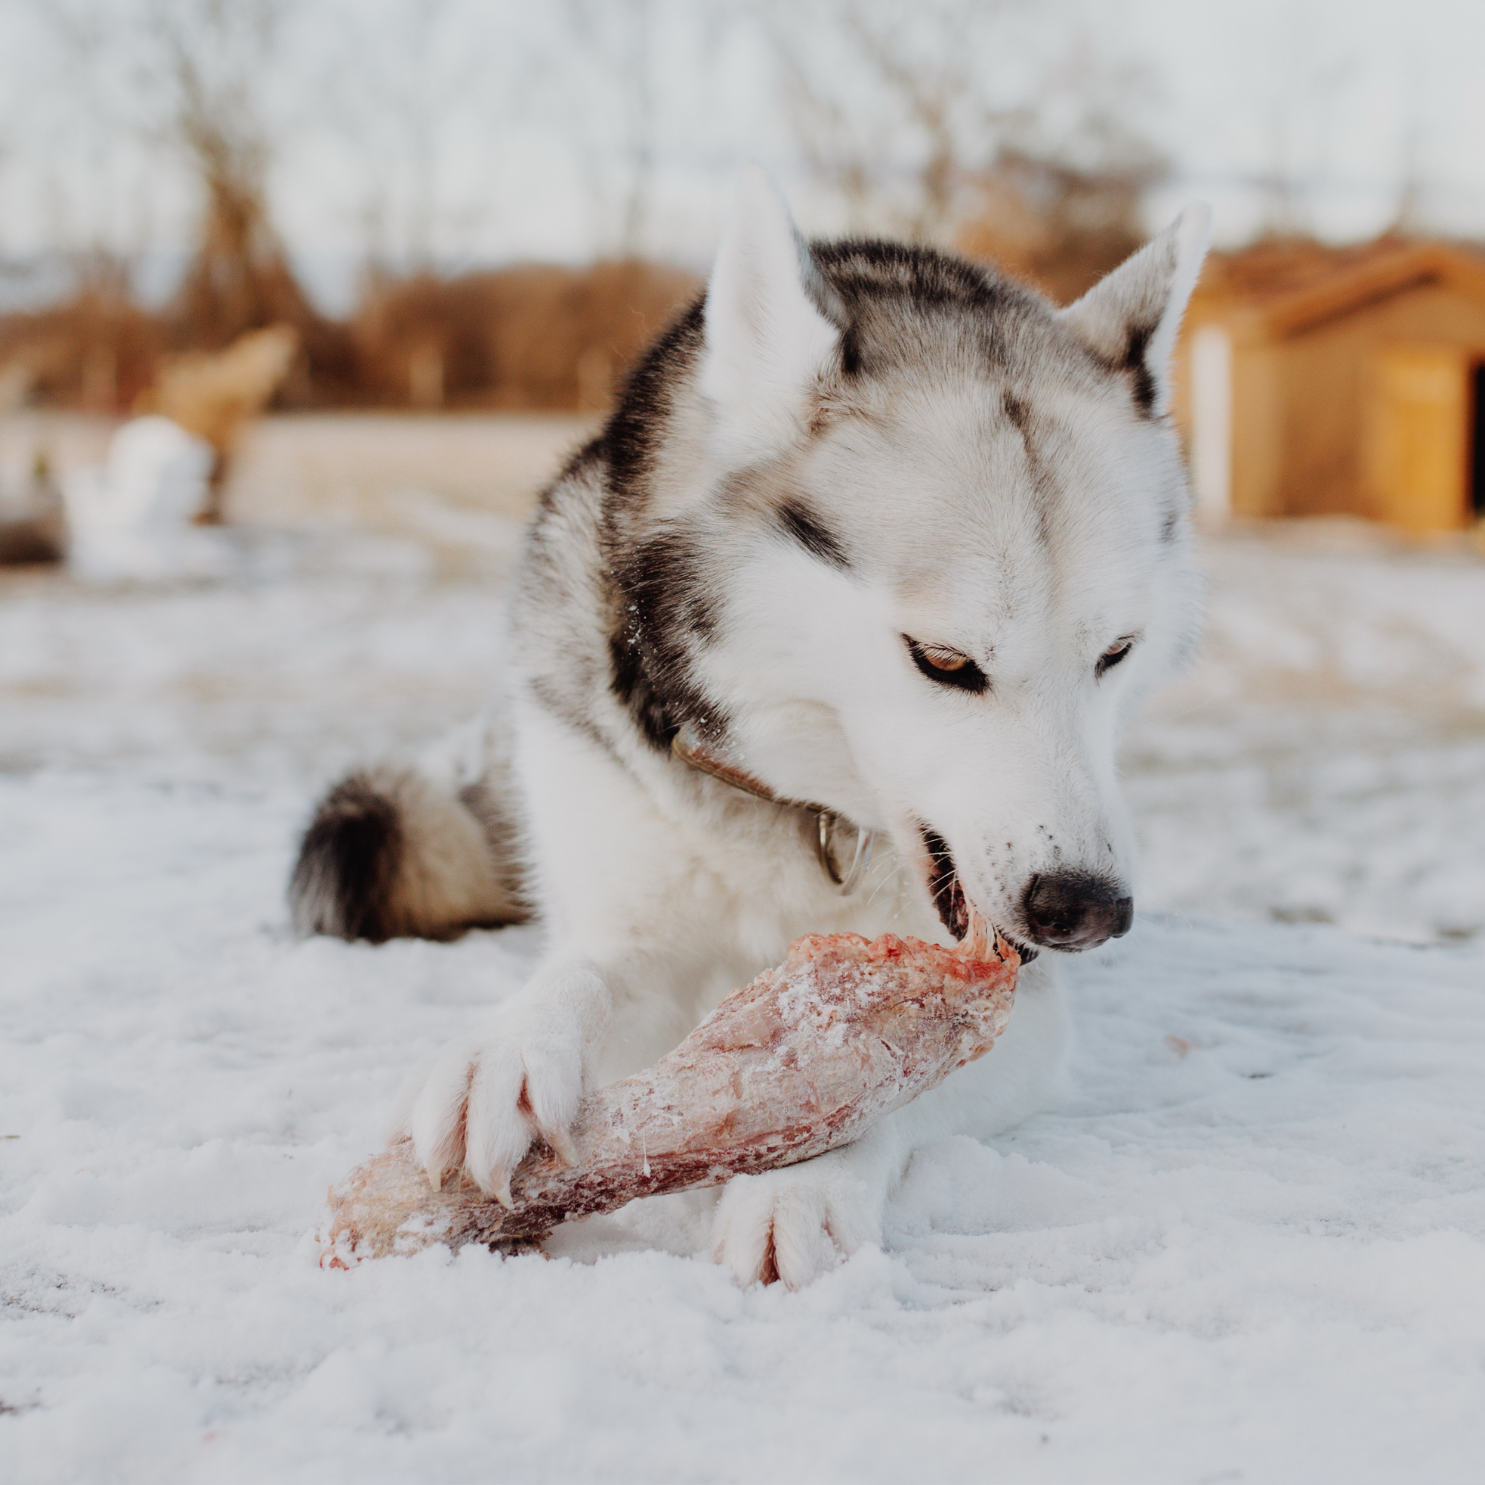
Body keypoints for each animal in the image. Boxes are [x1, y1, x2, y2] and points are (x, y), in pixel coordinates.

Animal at [289, 170, 1205, 1288]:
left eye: (1116, 651)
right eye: (944, 660)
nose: (1086, 908)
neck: (804, 811)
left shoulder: (1019, 1010)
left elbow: (882, 1070)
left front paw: (800, 1182)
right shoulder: (628, 921)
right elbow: (583, 975)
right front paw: (507, 1053)